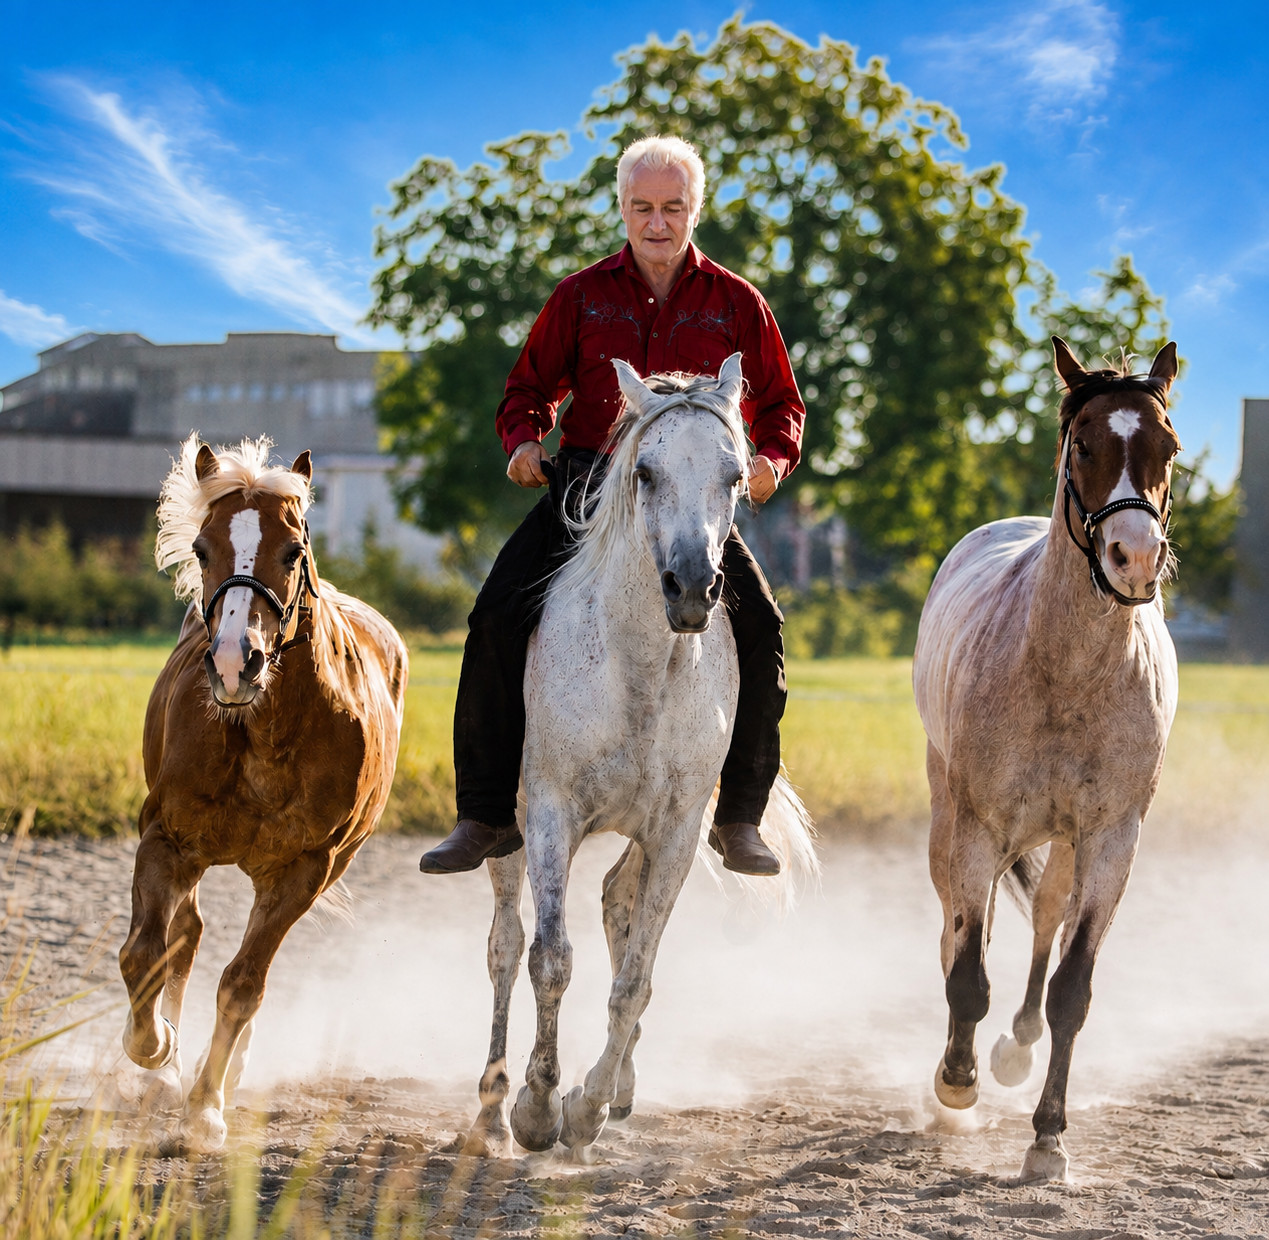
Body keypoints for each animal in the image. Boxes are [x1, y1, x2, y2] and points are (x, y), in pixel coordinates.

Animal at [117, 434, 408, 1152]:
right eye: (201, 548)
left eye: (293, 550)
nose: (232, 663)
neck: (264, 732)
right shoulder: (168, 839)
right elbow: (146, 954)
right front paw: (158, 1053)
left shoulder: (302, 869)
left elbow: (245, 983)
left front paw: (205, 1107)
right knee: (185, 935)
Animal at [461, 353, 818, 1160]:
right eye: (646, 472)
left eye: (733, 473)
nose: (692, 587)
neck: (639, 665)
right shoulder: (553, 815)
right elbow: (550, 959)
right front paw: (538, 1108)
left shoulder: (677, 831)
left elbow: (636, 975)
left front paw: (587, 1106)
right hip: (507, 830)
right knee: (504, 944)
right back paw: (492, 1106)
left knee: (616, 907)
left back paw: (616, 1087)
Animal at [912, 337, 1181, 1182]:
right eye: (1084, 443)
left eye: (1167, 447)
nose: (1133, 558)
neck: (1066, 674)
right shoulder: (976, 828)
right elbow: (967, 971)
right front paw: (955, 1082)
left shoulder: (1110, 839)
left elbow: (1071, 988)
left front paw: (1047, 1138)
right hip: (949, 818)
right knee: (959, 929)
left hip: (1063, 841)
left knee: (1044, 921)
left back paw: (1017, 1047)